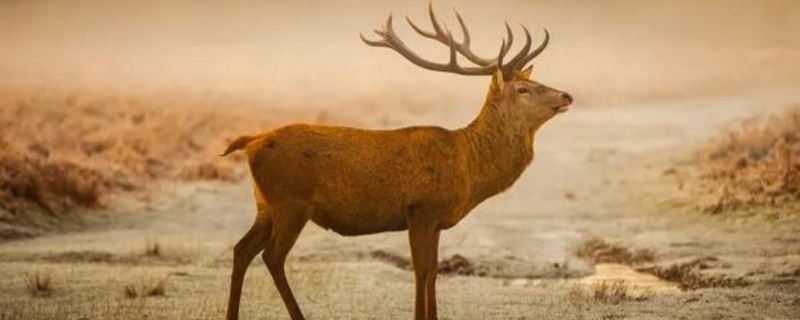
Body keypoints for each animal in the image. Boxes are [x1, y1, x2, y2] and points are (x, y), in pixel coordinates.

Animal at [222, 4, 572, 320]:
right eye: (523, 89)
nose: (566, 95)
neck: (468, 167)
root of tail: (251, 142)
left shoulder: (437, 220)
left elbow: (434, 272)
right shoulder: (420, 208)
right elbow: (421, 270)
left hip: (265, 205)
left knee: (242, 249)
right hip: (291, 202)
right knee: (272, 256)